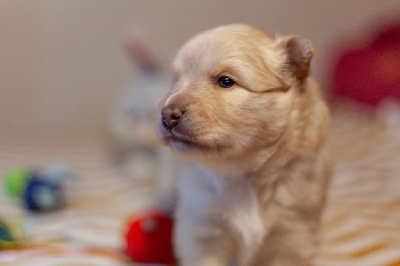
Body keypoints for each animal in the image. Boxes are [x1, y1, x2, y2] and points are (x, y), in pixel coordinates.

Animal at [155, 23, 332, 264]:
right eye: (176, 80)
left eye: (226, 81)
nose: (167, 115)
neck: (242, 174)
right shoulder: (201, 230)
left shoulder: (294, 236)